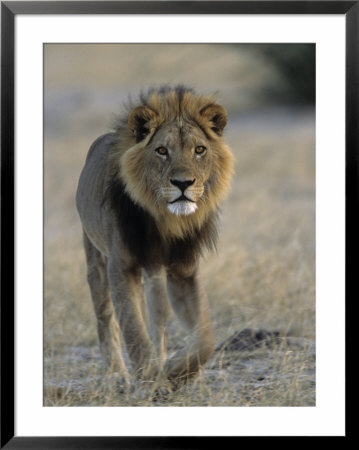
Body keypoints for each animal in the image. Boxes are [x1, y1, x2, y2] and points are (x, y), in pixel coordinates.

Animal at [76, 85, 235, 390]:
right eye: (162, 151)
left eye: (199, 150)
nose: (183, 184)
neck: (167, 220)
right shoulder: (121, 265)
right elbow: (133, 329)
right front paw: (150, 380)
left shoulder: (183, 271)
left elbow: (205, 338)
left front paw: (174, 372)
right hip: (96, 259)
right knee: (106, 317)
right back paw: (117, 375)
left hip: (154, 275)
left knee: (157, 319)